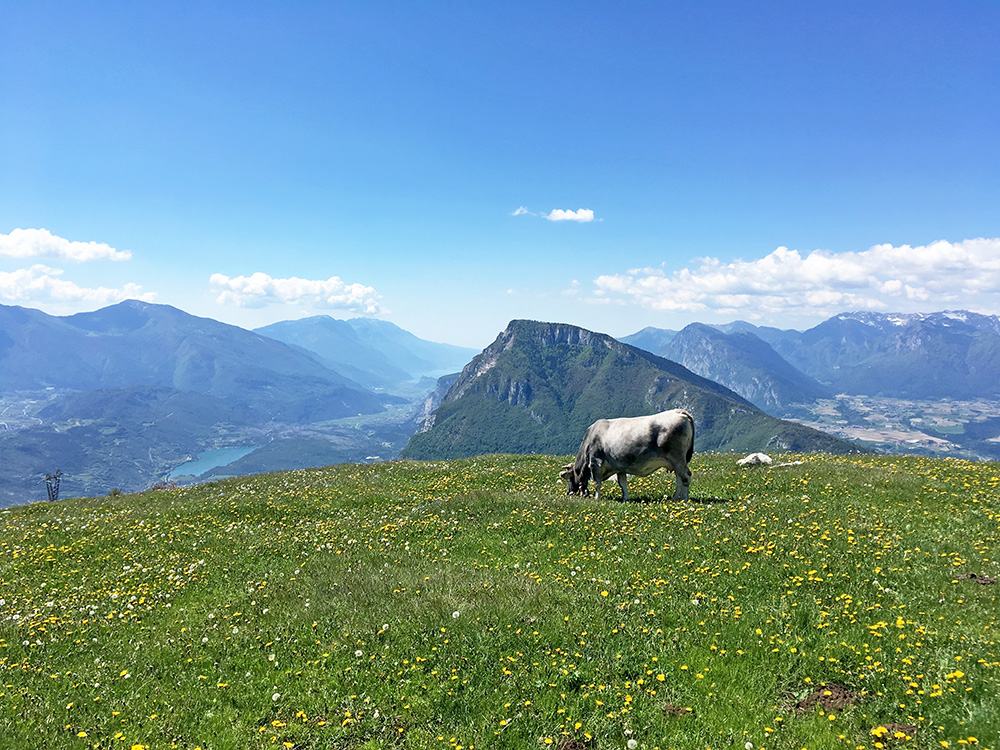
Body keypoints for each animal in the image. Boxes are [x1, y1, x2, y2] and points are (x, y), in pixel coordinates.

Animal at [560, 408, 692, 502]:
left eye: (569, 478)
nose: (568, 492)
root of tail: (678, 411)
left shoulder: (595, 463)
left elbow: (597, 482)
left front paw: (597, 498)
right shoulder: (620, 467)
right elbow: (622, 483)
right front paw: (625, 498)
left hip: (677, 458)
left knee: (685, 476)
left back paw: (684, 499)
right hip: (675, 461)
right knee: (679, 477)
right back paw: (674, 498)